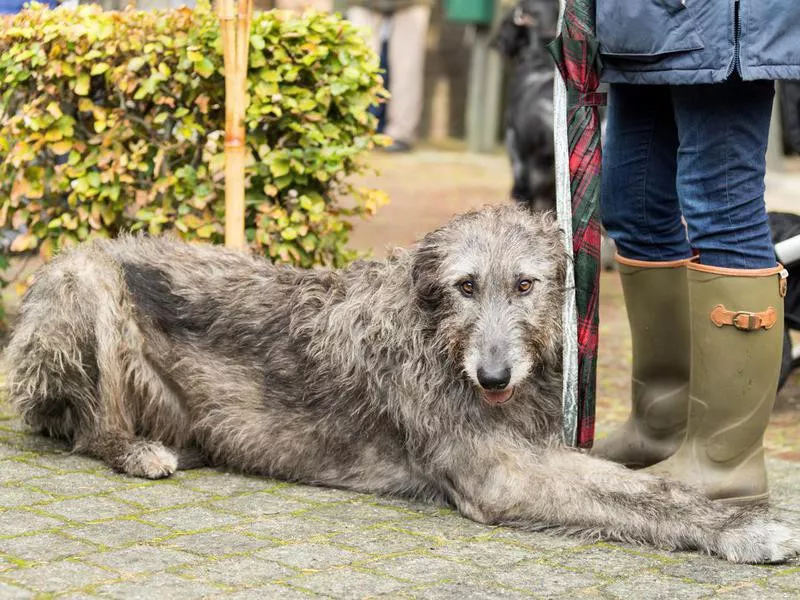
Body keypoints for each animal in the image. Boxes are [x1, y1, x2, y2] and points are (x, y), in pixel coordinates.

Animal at [6, 205, 800, 564]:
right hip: (86, 280)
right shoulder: (502, 473)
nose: (492, 376)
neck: (438, 341)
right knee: (86, 428)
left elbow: (644, 487)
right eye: (465, 285)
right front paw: (744, 529)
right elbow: (634, 499)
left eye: (525, 284)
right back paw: (137, 450)